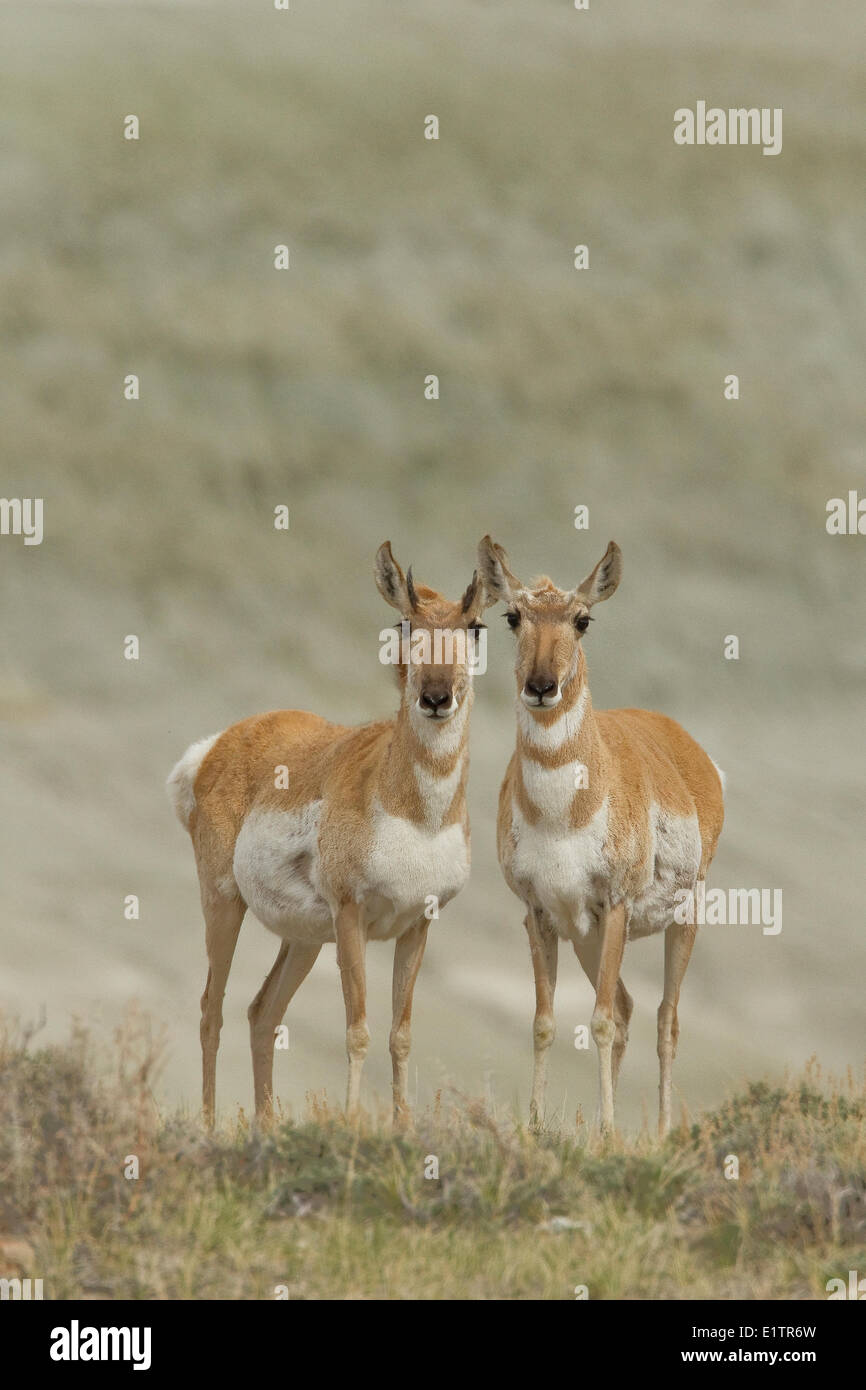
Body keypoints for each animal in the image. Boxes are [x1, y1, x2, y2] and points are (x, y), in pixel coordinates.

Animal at [166, 542, 492, 1128]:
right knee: (211, 1009)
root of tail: (223, 742)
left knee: (261, 1011)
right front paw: (353, 1123)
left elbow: (401, 1034)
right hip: (224, 904)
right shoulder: (351, 917)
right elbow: (357, 1030)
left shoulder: (417, 925)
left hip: (303, 940)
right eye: (405, 622)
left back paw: (268, 1127)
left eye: (475, 626)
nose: (436, 697)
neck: (417, 815)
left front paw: (402, 1127)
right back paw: (207, 1125)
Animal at [478, 536, 728, 1134]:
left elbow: (599, 1021)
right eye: (512, 616)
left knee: (664, 1018)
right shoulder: (541, 912)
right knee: (630, 1006)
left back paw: (660, 1130)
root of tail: (683, 744)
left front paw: (611, 1129)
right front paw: (537, 1124)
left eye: (582, 619)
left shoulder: (615, 906)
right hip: (585, 937)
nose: (541, 686)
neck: (562, 814)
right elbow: (546, 1021)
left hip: (683, 917)